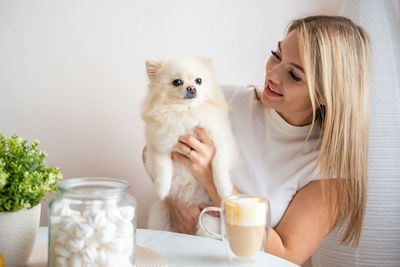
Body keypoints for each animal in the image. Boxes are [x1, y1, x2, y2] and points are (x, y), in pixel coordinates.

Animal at [143, 57, 238, 238]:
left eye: (198, 80)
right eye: (177, 82)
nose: (192, 88)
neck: (186, 113)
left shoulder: (221, 143)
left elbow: (218, 165)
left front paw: (224, 189)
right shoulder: (159, 146)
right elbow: (163, 168)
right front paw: (162, 189)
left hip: (208, 219)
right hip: (160, 217)